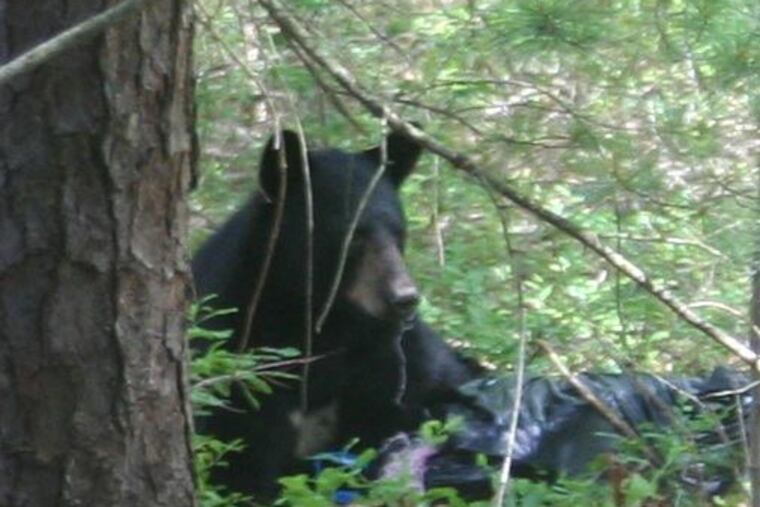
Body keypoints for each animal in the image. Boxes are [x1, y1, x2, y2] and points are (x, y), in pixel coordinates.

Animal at [192, 128, 481, 499]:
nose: (405, 298)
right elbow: (241, 463)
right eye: (353, 236)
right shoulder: (240, 359)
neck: (322, 326)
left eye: (399, 232)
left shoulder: (391, 360)